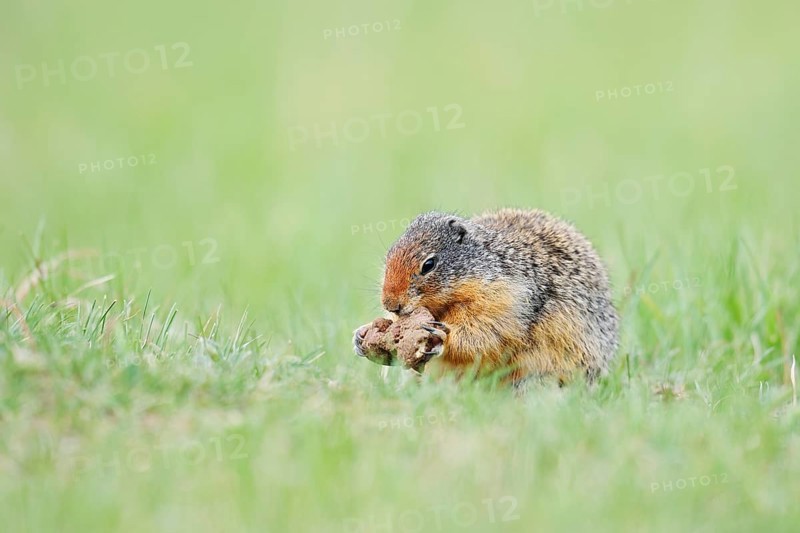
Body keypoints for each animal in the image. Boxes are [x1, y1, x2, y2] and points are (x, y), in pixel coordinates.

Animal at [353, 208, 619, 386]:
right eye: (389, 255)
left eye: (429, 264)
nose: (390, 304)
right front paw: (361, 335)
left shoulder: (506, 300)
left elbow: (485, 335)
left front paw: (441, 336)